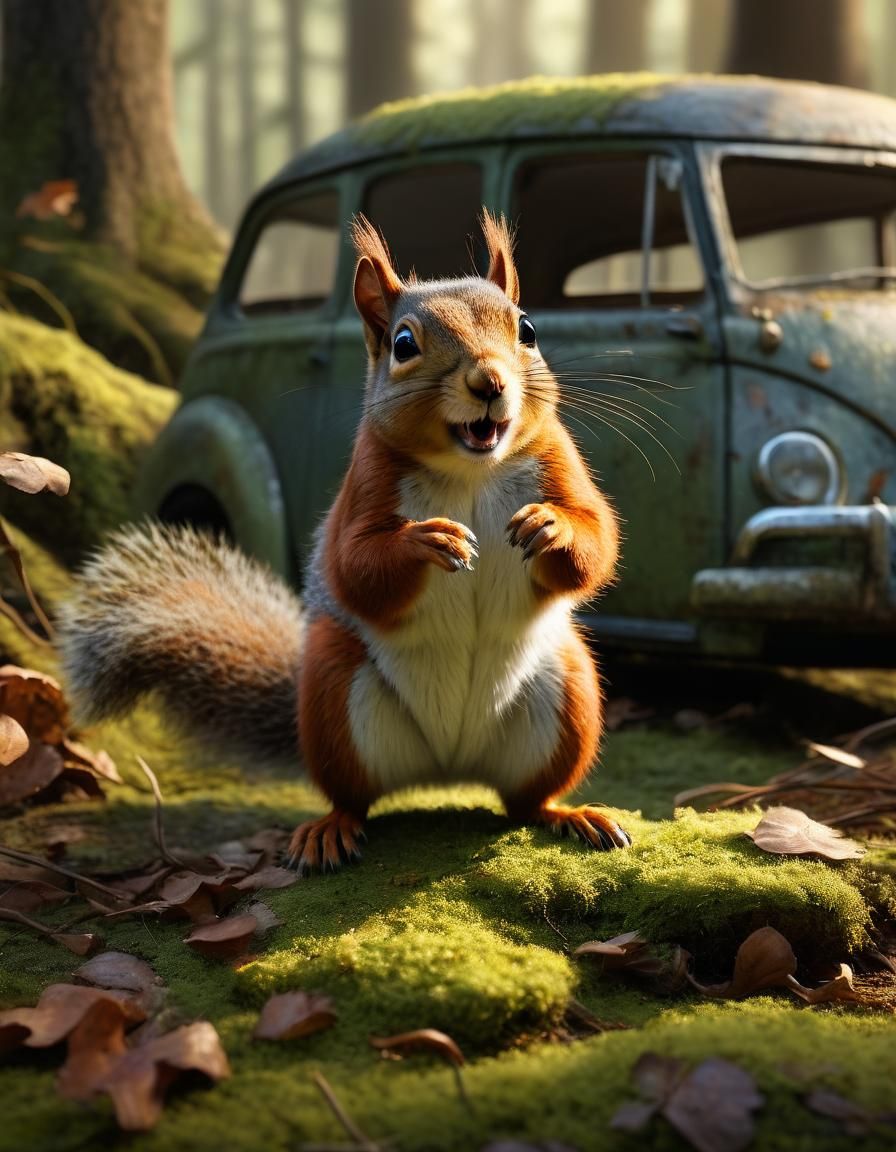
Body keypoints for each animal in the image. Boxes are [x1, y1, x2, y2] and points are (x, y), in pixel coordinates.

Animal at [58, 210, 630, 872]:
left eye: (528, 329)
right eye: (404, 344)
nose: (489, 381)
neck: (470, 470)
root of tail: (448, 765)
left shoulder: (559, 462)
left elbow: (598, 537)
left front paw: (550, 526)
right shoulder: (363, 484)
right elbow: (355, 566)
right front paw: (425, 540)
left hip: (570, 690)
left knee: (526, 801)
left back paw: (571, 815)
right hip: (335, 692)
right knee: (352, 796)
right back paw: (329, 830)